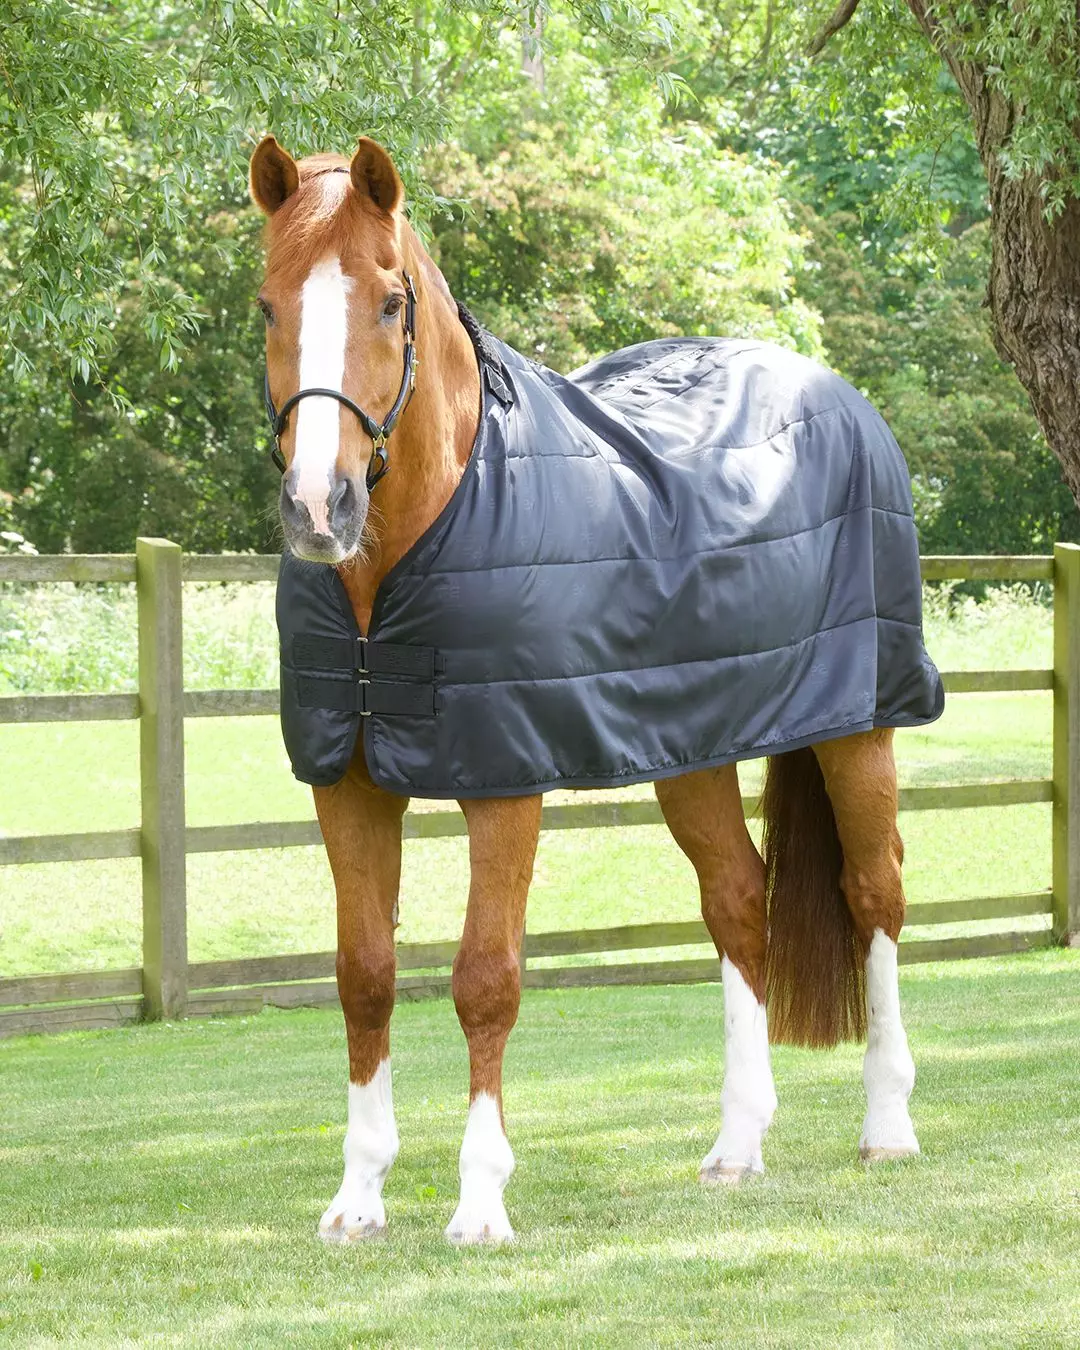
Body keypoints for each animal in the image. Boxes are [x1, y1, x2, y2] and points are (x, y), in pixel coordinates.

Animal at [249, 134, 936, 1245]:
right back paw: (737, 1146)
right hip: (691, 746)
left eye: (391, 302)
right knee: (738, 903)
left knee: (874, 893)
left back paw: (888, 1125)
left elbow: (485, 980)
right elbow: (364, 978)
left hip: (860, 727)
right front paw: (357, 1197)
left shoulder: (503, 782)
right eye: (269, 306)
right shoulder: (346, 783)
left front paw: (480, 1201)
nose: (321, 507)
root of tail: (835, 392)